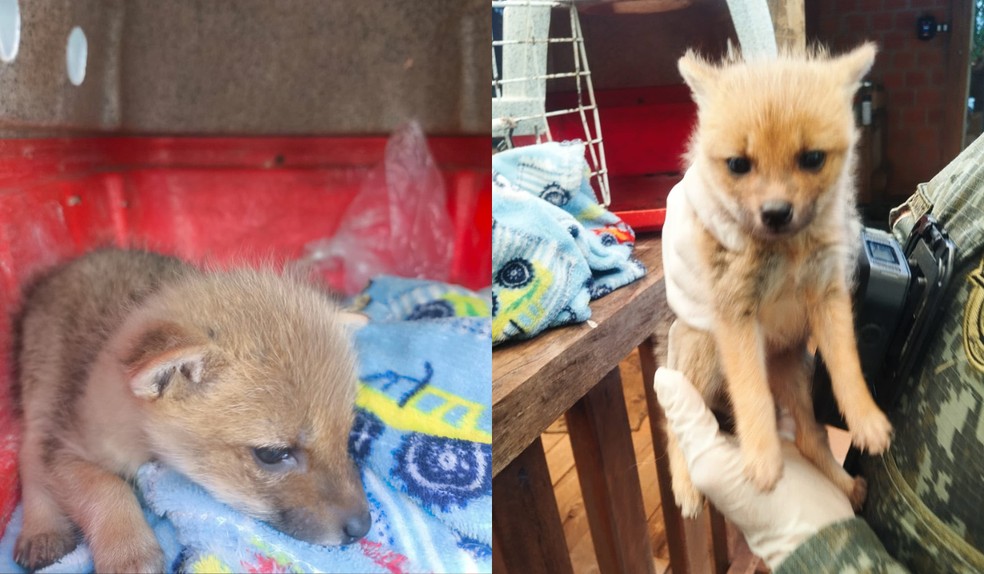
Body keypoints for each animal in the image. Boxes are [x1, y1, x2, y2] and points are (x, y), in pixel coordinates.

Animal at [13, 248, 371, 572]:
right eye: (271, 454)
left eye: (347, 433)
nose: (363, 527)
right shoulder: (65, 450)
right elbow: (107, 488)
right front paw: (129, 552)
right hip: (41, 391)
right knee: (28, 457)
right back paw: (42, 530)